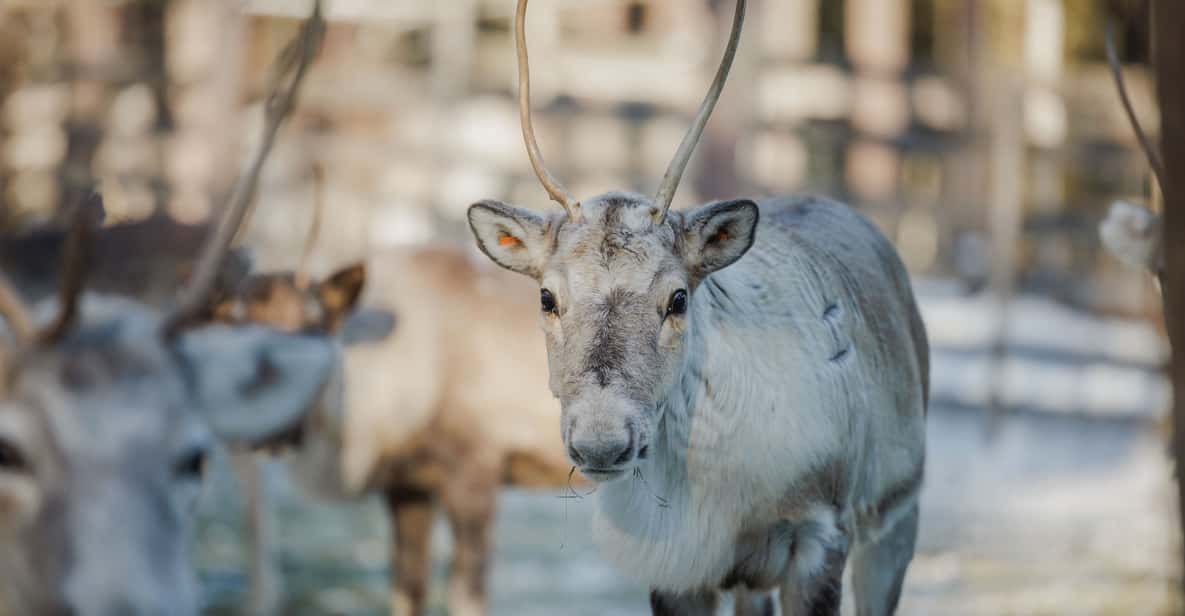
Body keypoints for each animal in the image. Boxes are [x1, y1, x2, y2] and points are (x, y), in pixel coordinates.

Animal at [462, 1, 928, 614]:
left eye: (678, 297)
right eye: (547, 296)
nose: (601, 441)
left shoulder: (824, 534)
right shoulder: (674, 565)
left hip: (896, 517)